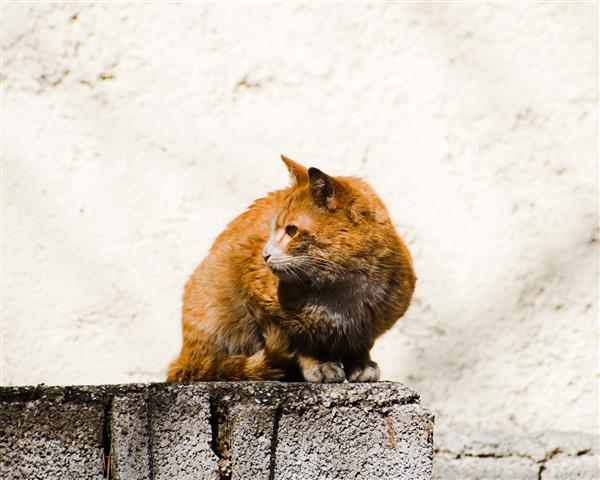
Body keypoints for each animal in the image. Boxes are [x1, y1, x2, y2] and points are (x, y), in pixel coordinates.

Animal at [166, 156, 414, 384]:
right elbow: (299, 343)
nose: (264, 254)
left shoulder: (370, 326)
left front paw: (360, 363)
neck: (344, 291)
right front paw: (319, 363)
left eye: (292, 231)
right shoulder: (262, 302)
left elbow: (361, 344)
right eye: (270, 231)